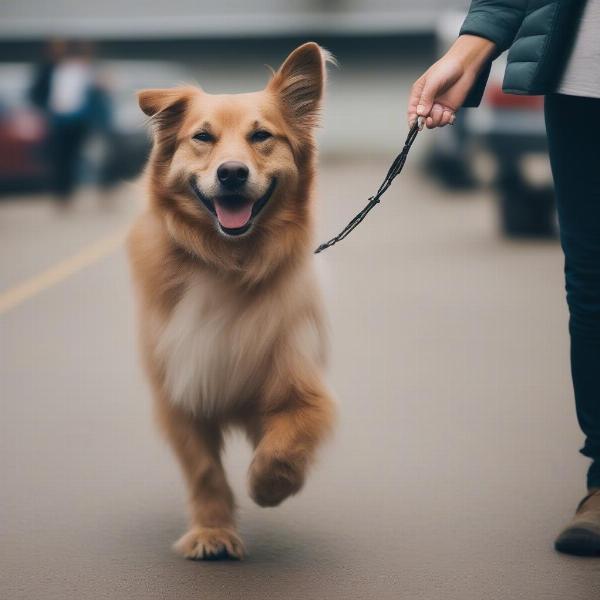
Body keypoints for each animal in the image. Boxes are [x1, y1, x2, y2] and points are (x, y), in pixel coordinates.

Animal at [128, 43, 338, 564]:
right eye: (202, 137)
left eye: (261, 136)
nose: (232, 173)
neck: (227, 261)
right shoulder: (181, 389)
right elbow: (204, 470)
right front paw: (212, 531)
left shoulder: (301, 387)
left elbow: (285, 444)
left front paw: (270, 485)